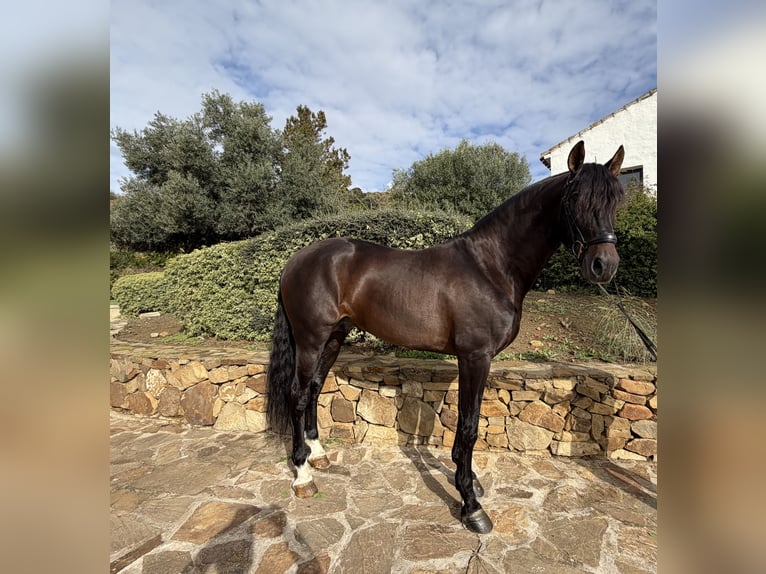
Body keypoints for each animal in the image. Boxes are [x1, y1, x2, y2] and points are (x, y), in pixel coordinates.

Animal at [266, 140, 625, 533]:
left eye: (617, 199)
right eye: (574, 198)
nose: (604, 266)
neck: (490, 267)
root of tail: (295, 259)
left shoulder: (478, 360)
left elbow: (470, 421)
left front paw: (471, 484)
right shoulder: (475, 356)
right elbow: (468, 427)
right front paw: (471, 505)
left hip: (333, 337)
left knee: (315, 388)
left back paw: (318, 455)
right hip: (310, 339)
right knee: (298, 395)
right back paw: (303, 475)